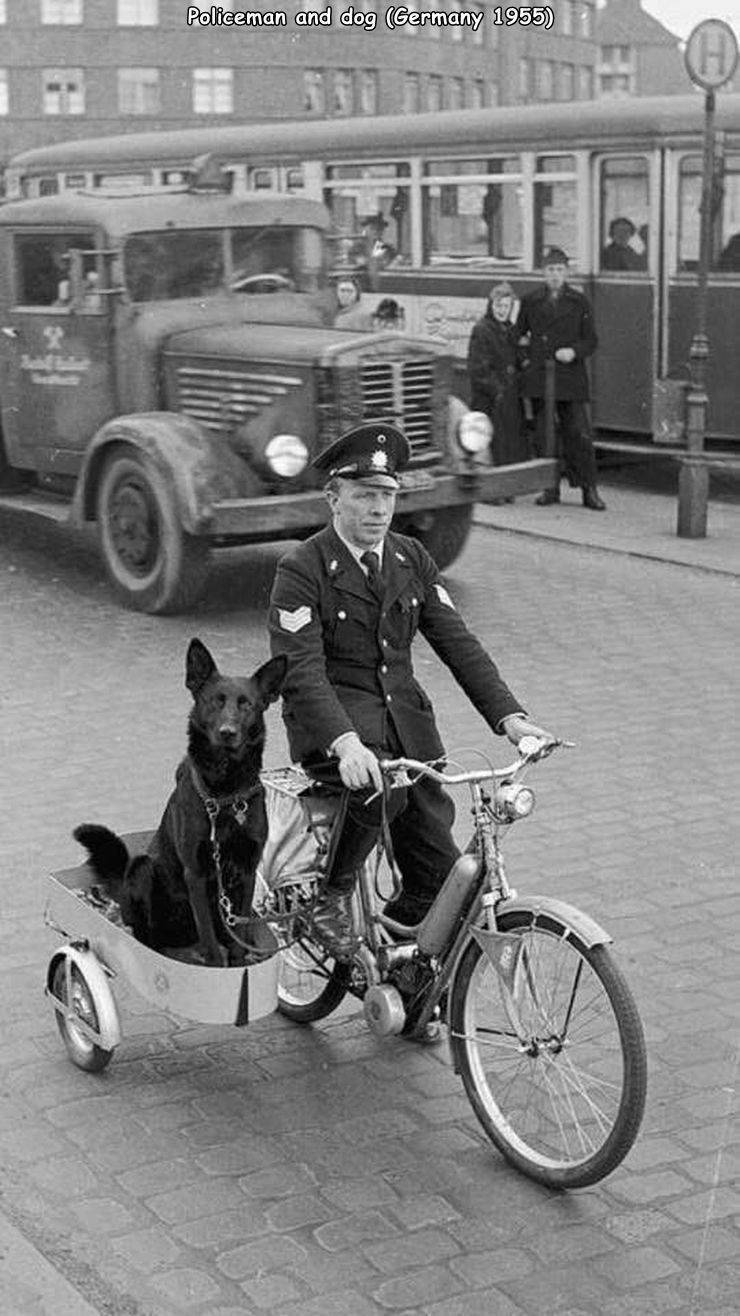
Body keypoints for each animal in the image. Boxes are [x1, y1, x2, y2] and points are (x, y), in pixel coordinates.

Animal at [72, 639, 285, 968]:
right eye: (214, 701)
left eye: (246, 704)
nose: (227, 732)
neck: (224, 794)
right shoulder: (194, 873)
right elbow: (210, 940)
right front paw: (216, 968)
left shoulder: (247, 870)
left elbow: (238, 932)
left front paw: (239, 963)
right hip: (144, 870)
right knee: (146, 936)